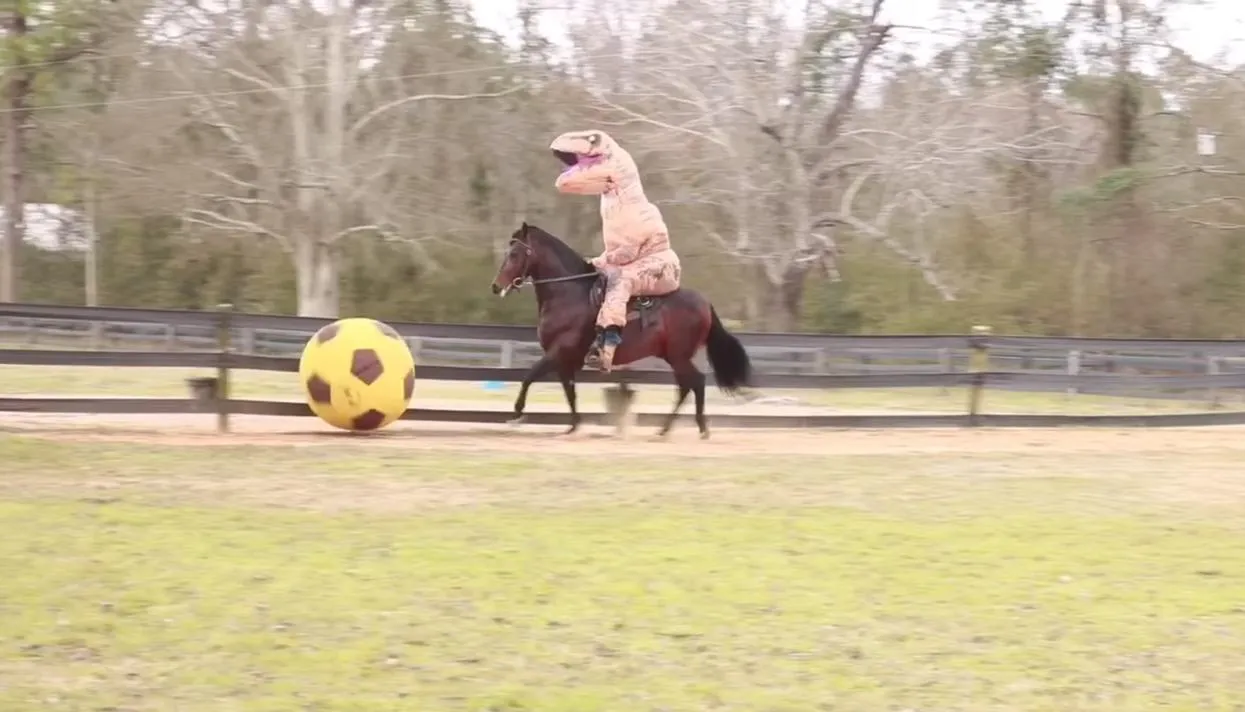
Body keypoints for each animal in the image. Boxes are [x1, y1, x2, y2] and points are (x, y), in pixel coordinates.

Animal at [490, 222, 751, 435]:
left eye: (515, 254)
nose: (496, 286)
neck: (570, 294)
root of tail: (704, 303)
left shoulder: (558, 352)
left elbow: (529, 376)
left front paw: (517, 412)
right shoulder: (564, 360)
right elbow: (569, 390)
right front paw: (574, 425)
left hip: (679, 356)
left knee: (695, 383)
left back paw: (699, 428)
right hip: (673, 356)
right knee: (686, 386)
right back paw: (665, 429)